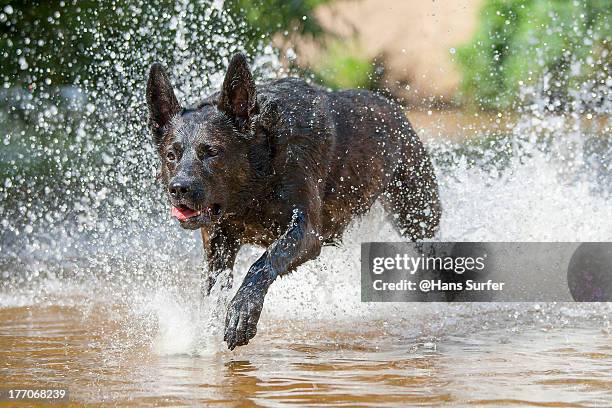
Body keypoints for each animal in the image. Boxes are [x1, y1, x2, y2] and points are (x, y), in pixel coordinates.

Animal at [145, 52, 440, 350]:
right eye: (171, 155)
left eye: (212, 152)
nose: (179, 188)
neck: (257, 176)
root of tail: (394, 109)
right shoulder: (218, 241)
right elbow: (214, 287)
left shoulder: (307, 231)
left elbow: (262, 262)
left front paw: (242, 312)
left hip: (417, 215)